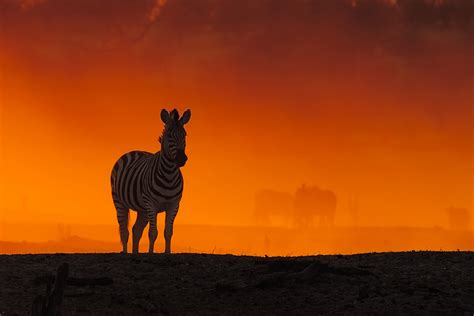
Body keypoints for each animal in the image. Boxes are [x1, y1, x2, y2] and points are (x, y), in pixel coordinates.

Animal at [110, 108, 191, 254]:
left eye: (184, 135)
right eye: (169, 135)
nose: (182, 159)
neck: (169, 174)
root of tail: (134, 151)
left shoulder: (174, 205)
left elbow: (168, 232)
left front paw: (167, 253)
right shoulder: (151, 204)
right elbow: (153, 232)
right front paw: (151, 253)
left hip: (142, 209)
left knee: (136, 229)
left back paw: (135, 253)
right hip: (119, 201)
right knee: (124, 230)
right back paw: (125, 252)